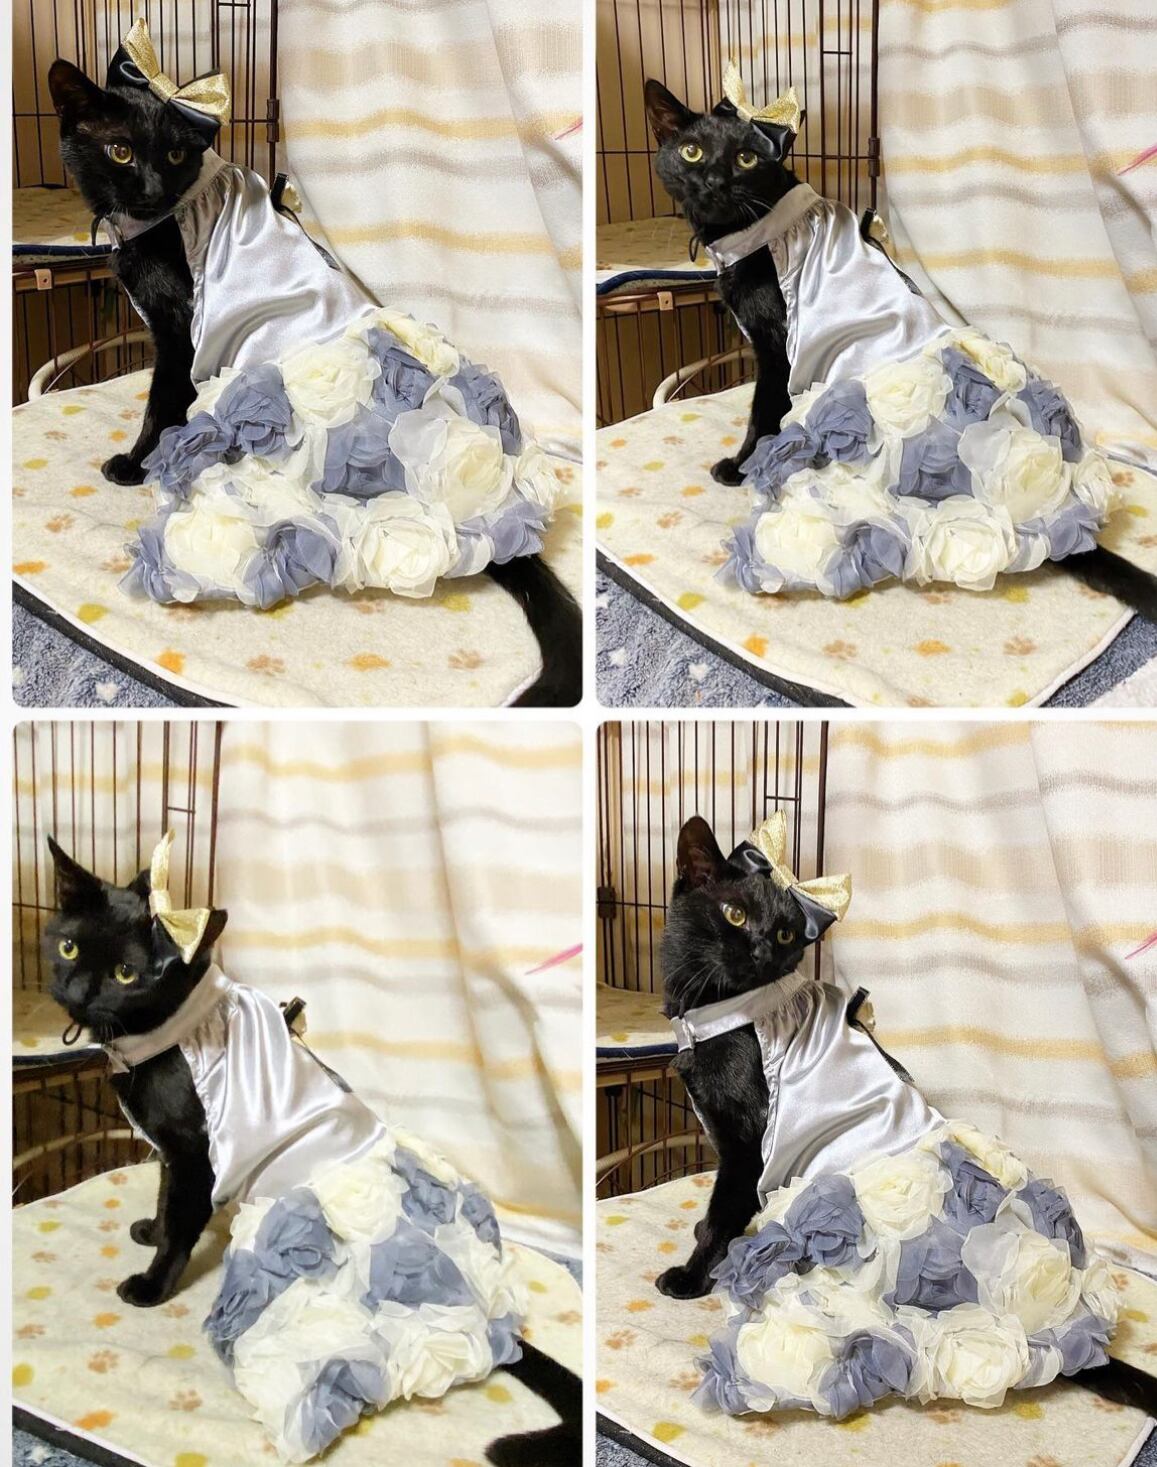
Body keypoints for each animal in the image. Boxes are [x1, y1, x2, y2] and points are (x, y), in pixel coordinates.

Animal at [44, 837, 581, 1465]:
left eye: (126, 973)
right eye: (68, 945)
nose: (78, 992)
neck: (165, 1035)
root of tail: (490, 1311)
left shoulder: (197, 1156)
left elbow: (180, 1223)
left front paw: (152, 1286)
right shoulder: (174, 1156)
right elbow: (163, 1198)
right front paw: (148, 1231)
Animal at [47, 58, 582, 706]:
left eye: (175, 155)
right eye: (121, 150)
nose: (151, 188)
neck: (160, 221)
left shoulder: (180, 338)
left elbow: (162, 403)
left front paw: (134, 462)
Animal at [643, 80, 1157, 621]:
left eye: (745, 158)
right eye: (692, 151)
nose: (714, 180)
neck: (759, 235)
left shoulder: (777, 354)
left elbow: (762, 413)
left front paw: (739, 468)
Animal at [655, 813, 1157, 1414]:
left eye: (783, 934)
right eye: (734, 914)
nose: (760, 951)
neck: (718, 1013)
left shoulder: (746, 1148)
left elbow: (722, 1215)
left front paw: (690, 1277)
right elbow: (721, 1213)